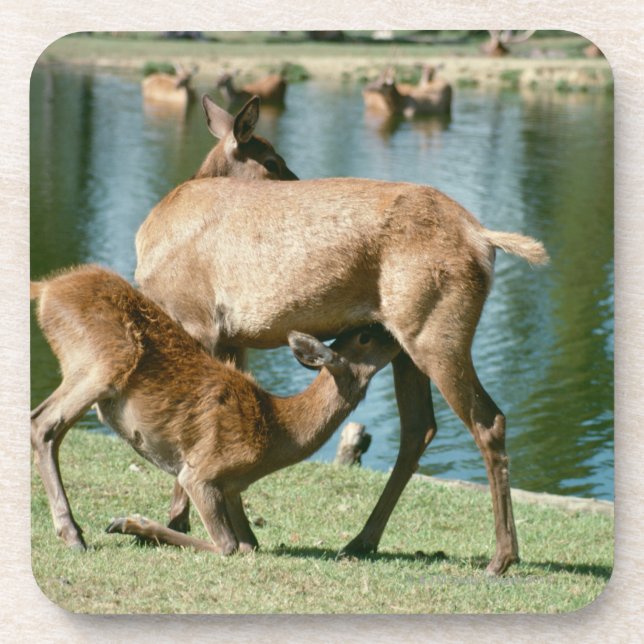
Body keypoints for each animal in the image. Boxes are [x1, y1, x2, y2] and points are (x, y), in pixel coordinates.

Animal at [30, 264, 400, 554]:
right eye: (365, 337)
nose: (394, 332)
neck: (278, 432)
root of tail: (45, 289)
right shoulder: (202, 472)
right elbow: (228, 545)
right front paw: (129, 523)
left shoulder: (233, 488)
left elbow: (251, 544)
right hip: (102, 362)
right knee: (44, 424)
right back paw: (73, 535)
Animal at [134, 173, 549, 575]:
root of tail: (484, 238)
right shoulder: (231, 339)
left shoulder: (198, 322)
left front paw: (177, 520)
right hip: (407, 343)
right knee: (419, 427)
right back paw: (361, 541)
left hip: (436, 334)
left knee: (488, 421)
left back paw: (501, 558)